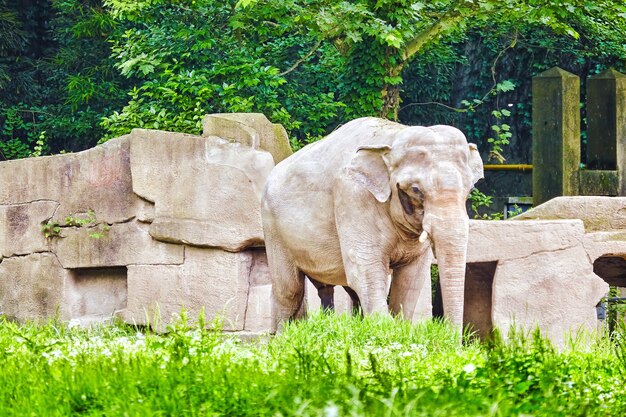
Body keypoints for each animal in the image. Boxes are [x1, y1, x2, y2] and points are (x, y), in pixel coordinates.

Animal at [258, 115, 482, 330]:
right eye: (416, 189)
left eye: (470, 189)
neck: (393, 136)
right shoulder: (353, 196)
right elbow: (366, 269)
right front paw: (386, 329)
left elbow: (411, 280)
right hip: (273, 229)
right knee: (288, 291)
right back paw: (280, 335)